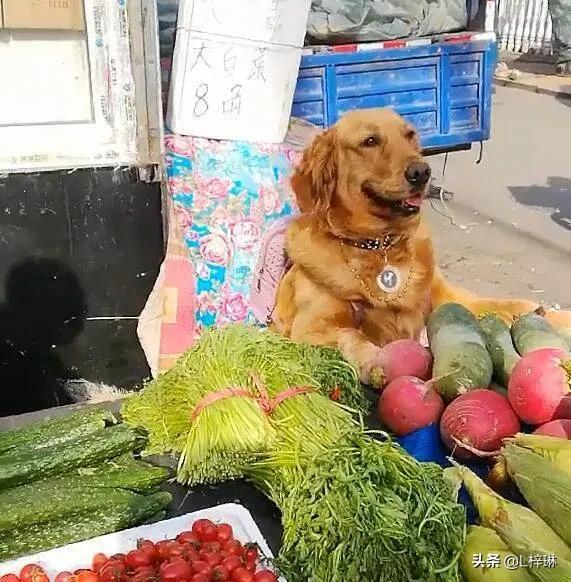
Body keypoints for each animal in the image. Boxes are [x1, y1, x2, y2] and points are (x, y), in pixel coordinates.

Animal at [274, 109, 571, 388]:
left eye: (409, 135)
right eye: (370, 141)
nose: (422, 173)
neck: (380, 246)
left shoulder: (448, 299)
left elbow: (494, 304)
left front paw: (548, 313)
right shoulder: (310, 327)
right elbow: (352, 333)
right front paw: (372, 359)